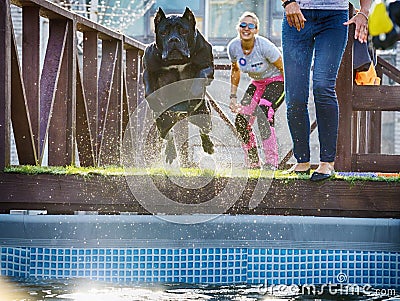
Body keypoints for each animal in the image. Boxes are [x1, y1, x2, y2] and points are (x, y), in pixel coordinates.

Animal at [142, 7, 214, 163]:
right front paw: (156, 102)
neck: (177, 61)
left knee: (204, 130)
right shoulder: (148, 71)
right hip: (162, 124)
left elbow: (200, 77)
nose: (173, 39)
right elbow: (150, 92)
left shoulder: (207, 67)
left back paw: (208, 146)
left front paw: (193, 98)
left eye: (184, 31)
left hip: (204, 117)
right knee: (168, 134)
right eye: (163, 32)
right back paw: (171, 152)